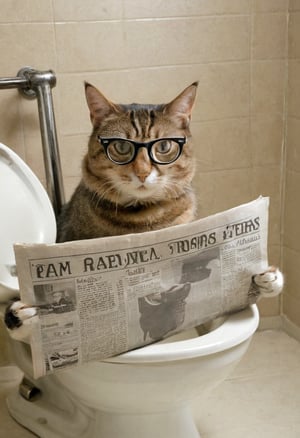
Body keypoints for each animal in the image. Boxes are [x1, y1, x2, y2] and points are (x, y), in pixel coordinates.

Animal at [4, 83, 284, 342]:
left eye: (164, 147)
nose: (142, 172)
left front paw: (267, 278)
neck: (144, 217)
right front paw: (24, 315)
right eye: (121, 147)